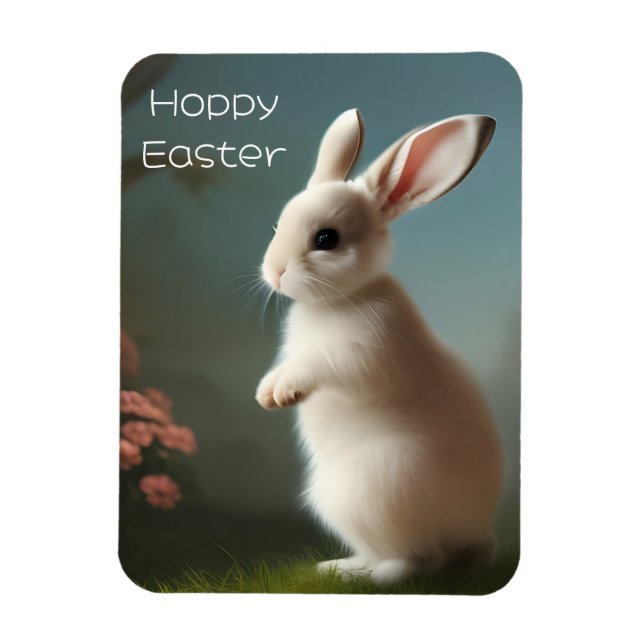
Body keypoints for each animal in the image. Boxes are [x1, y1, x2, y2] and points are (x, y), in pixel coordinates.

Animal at [255, 109, 503, 586]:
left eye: (327, 239)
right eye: (276, 226)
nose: (274, 272)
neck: (340, 298)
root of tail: (475, 535)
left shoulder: (369, 351)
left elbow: (325, 366)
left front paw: (284, 393)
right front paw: (266, 392)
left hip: (379, 486)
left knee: (422, 560)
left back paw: (372, 578)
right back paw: (338, 567)